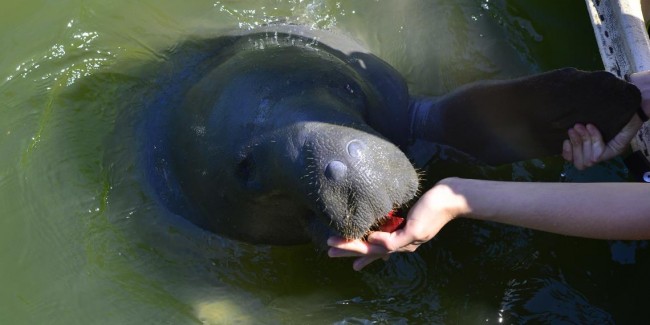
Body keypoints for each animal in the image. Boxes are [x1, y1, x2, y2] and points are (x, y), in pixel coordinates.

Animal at [140, 24, 636, 244]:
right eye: (245, 167)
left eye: (348, 88)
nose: (352, 163)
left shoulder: (401, 109)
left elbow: (476, 115)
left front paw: (609, 97)